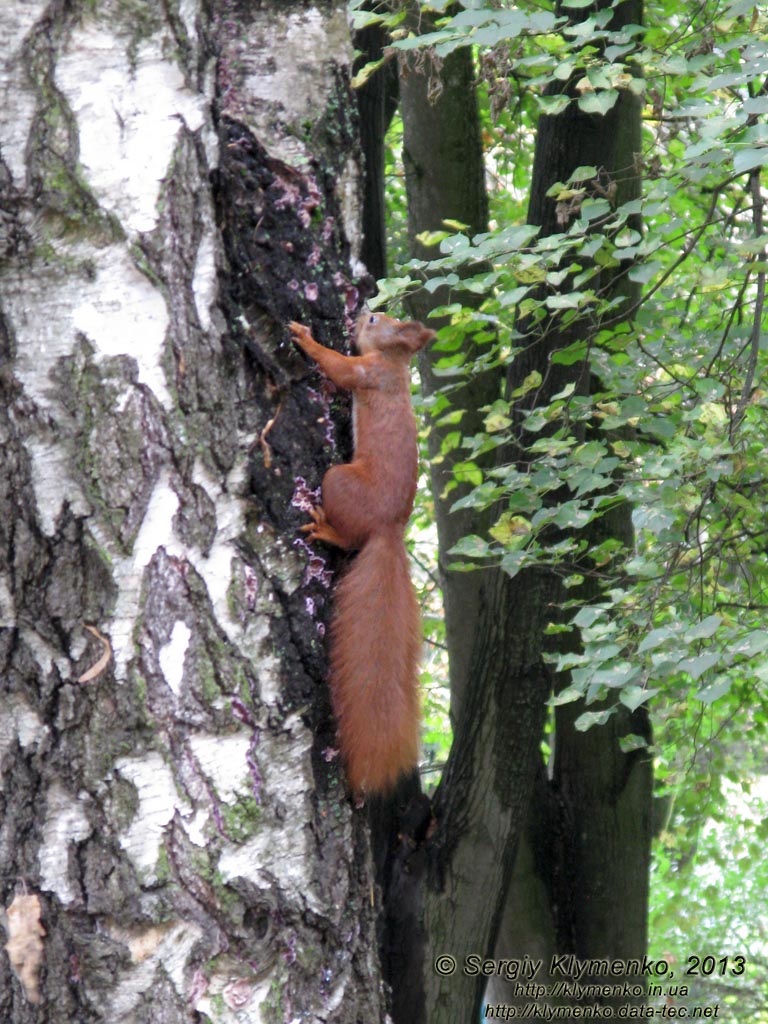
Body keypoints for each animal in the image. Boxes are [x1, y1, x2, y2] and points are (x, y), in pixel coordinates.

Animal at [290, 309, 434, 790]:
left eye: (374, 320)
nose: (360, 312)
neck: (394, 364)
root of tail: (388, 531)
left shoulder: (366, 374)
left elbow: (337, 367)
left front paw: (306, 339)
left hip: (339, 480)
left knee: (348, 534)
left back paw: (326, 529)